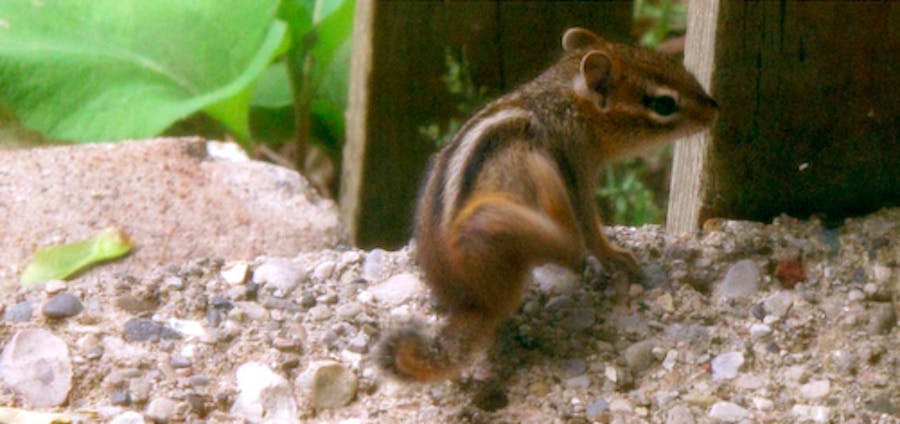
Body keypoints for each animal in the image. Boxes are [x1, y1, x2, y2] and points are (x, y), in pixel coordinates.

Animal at [377, 27, 718, 382]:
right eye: (664, 104)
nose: (716, 108)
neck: (565, 98)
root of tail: (476, 303)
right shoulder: (575, 170)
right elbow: (589, 225)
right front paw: (616, 256)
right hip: (502, 219)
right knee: (570, 245)